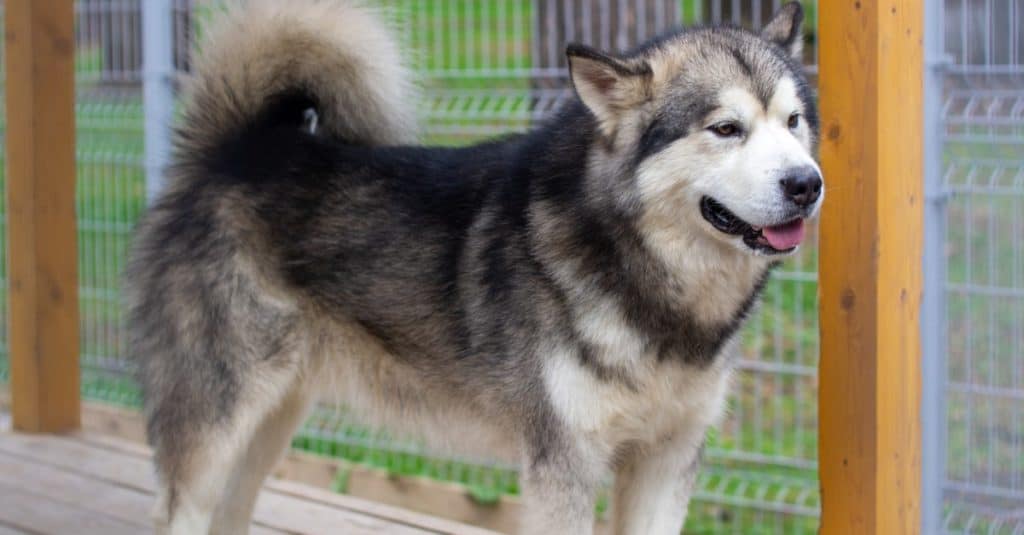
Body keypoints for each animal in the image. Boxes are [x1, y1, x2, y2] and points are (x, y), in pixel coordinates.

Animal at [130, 2, 823, 528]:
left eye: (793, 122)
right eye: (726, 128)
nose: (807, 184)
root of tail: (237, 149)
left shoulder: (667, 461)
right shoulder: (562, 467)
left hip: (271, 423)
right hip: (217, 422)